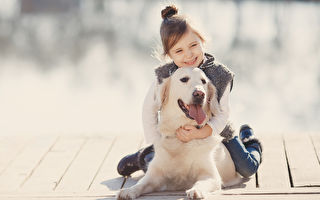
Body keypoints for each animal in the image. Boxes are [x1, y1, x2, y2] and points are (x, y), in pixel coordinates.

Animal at [116, 68, 239, 199]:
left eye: (203, 81)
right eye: (184, 79)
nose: (200, 94)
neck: (181, 142)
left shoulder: (211, 176)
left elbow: (201, 183)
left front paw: (196, 190)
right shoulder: (154, 175)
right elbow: (141, 184)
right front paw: (128, 190)